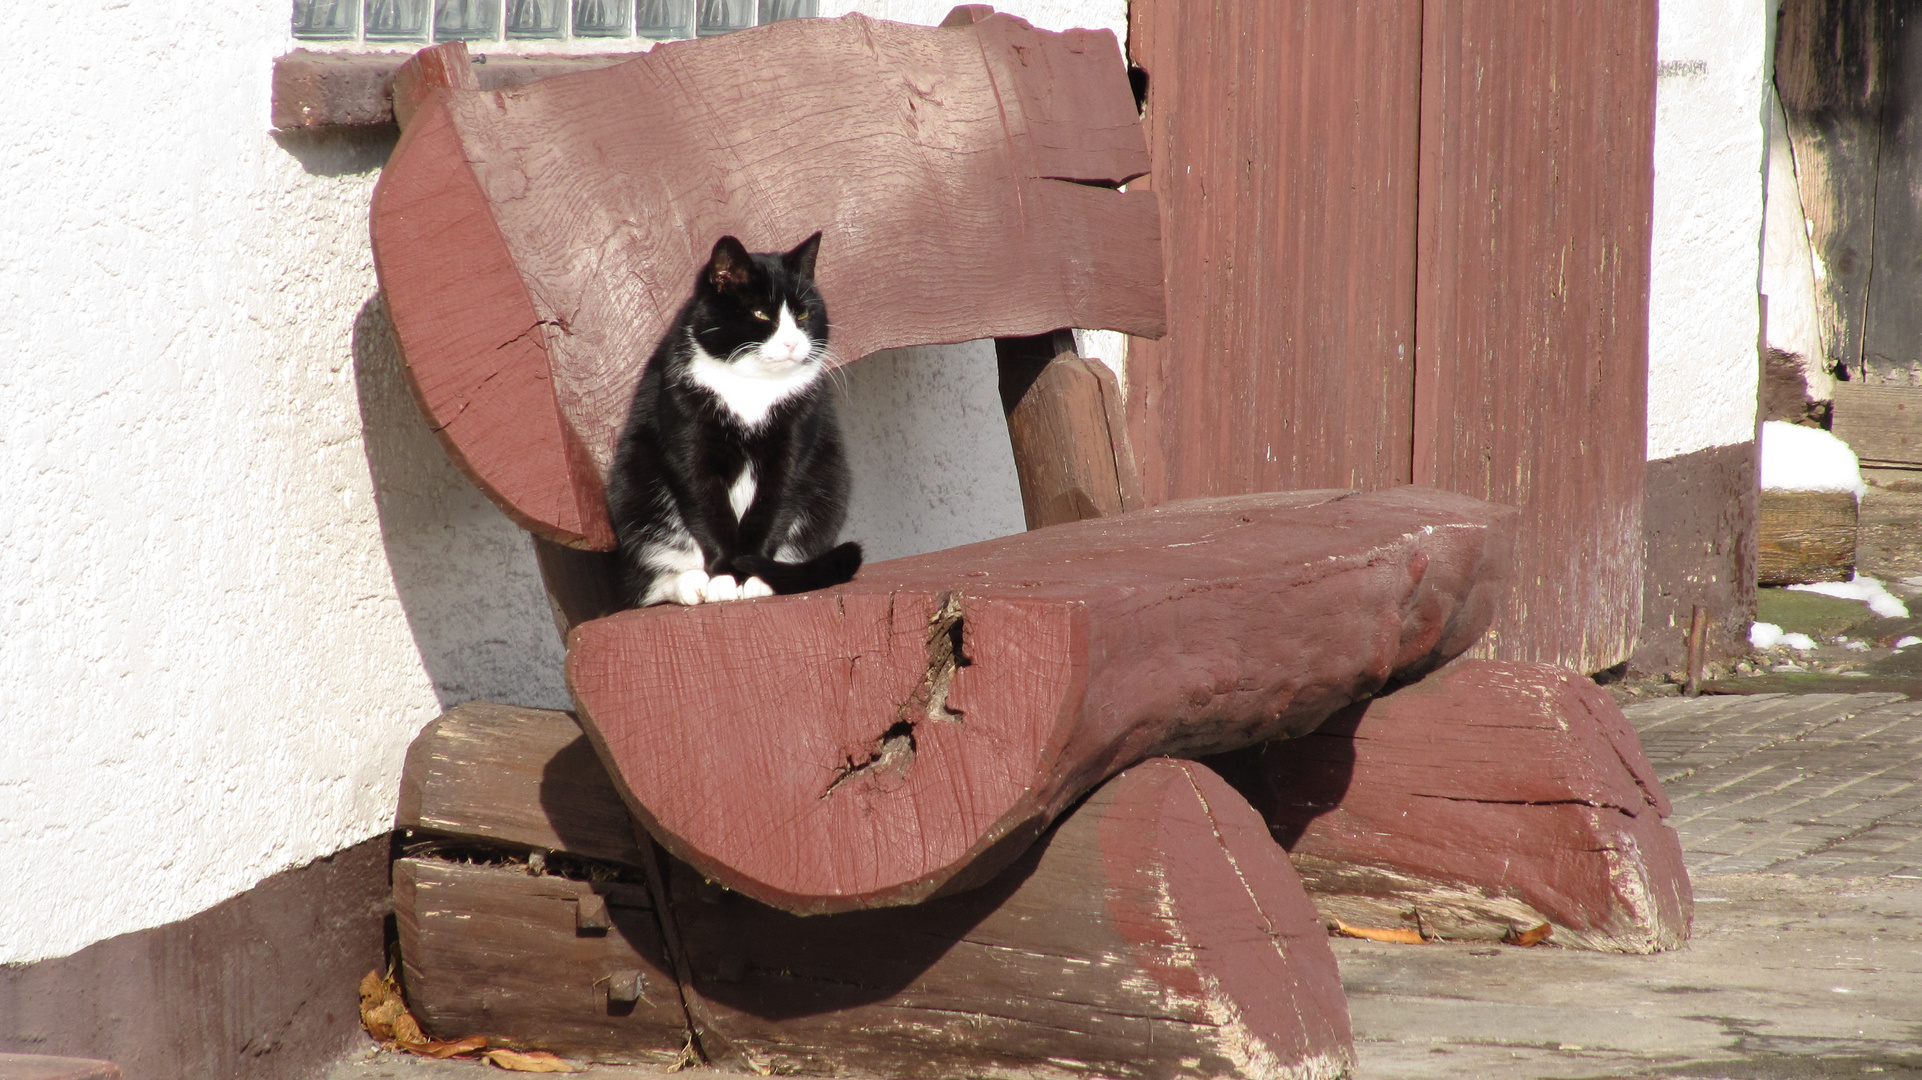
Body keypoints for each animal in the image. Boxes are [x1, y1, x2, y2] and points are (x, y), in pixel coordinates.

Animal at [607, 230, 864, 607]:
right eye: (759, 313)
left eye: (803, 313)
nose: (791, 342)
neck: (751, 388)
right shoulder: (689, 438)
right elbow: (709, 509)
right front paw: (725, 577)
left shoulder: (794, 439)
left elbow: (774, 505)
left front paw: (751, 574)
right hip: (634, 485)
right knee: (647, 581)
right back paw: (691, 584)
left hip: (830, 481)